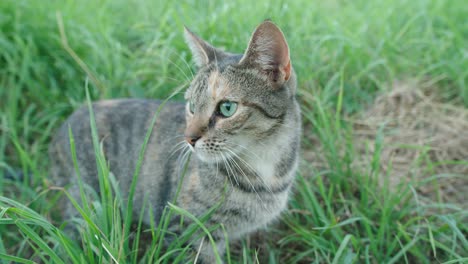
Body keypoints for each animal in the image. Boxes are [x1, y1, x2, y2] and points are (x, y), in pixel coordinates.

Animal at [49, 20, 302, 262]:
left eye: (227, 108)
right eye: (191, 106)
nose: (189, 139)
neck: (264, 167)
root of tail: (68, 120)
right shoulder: (187, 230)